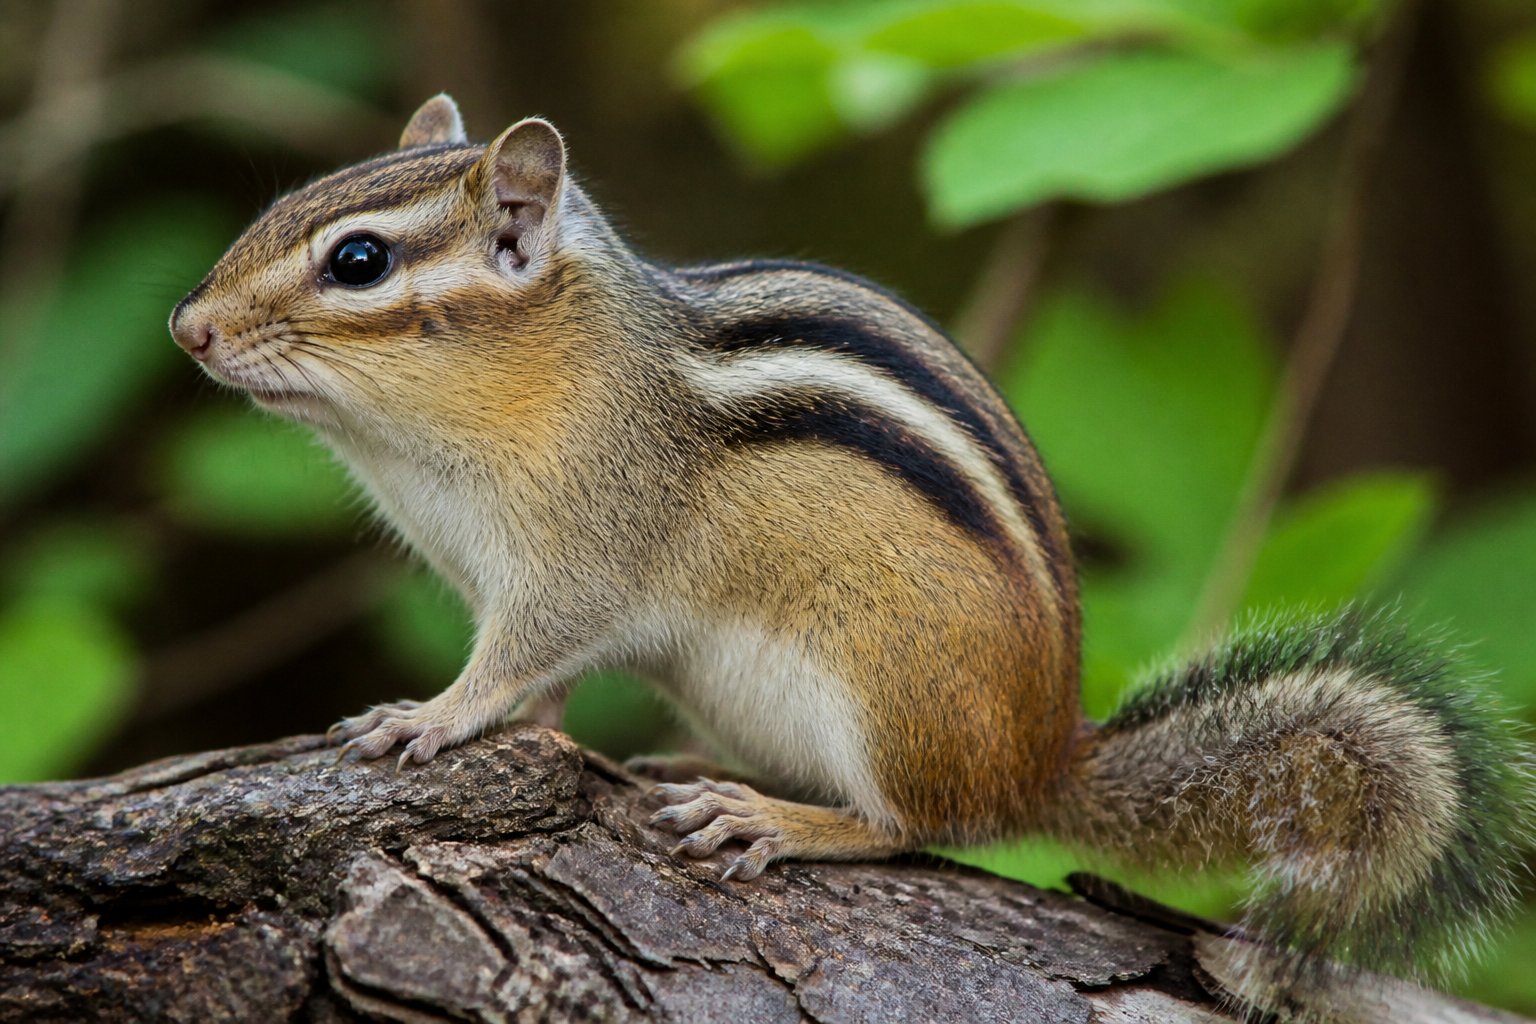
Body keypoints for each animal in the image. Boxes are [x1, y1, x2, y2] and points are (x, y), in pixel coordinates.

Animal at [170, 94, 1531, 1009]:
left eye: (358, 260)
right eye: (282, 207)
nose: (187, 328)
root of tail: (1045, 754)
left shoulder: (581, 551)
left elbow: (516, 659)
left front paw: (427, 718)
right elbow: (541, 691)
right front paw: (514, 730)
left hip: (884, 688)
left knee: (919, 822)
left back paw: (777, 817)